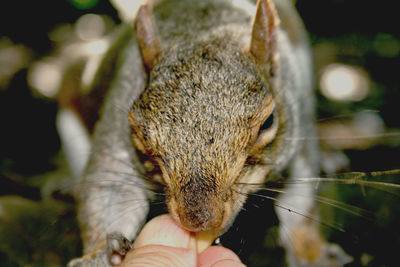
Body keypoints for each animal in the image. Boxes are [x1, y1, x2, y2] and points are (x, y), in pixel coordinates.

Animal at [63, 0, 350, 266]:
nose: (199, 219)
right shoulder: (116, 133)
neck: (205, 30)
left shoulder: (297, 134)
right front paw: (100, 253)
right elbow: (108, 190)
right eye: (139, 135)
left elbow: (301, 196)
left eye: (268, 122)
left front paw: (311, 252)